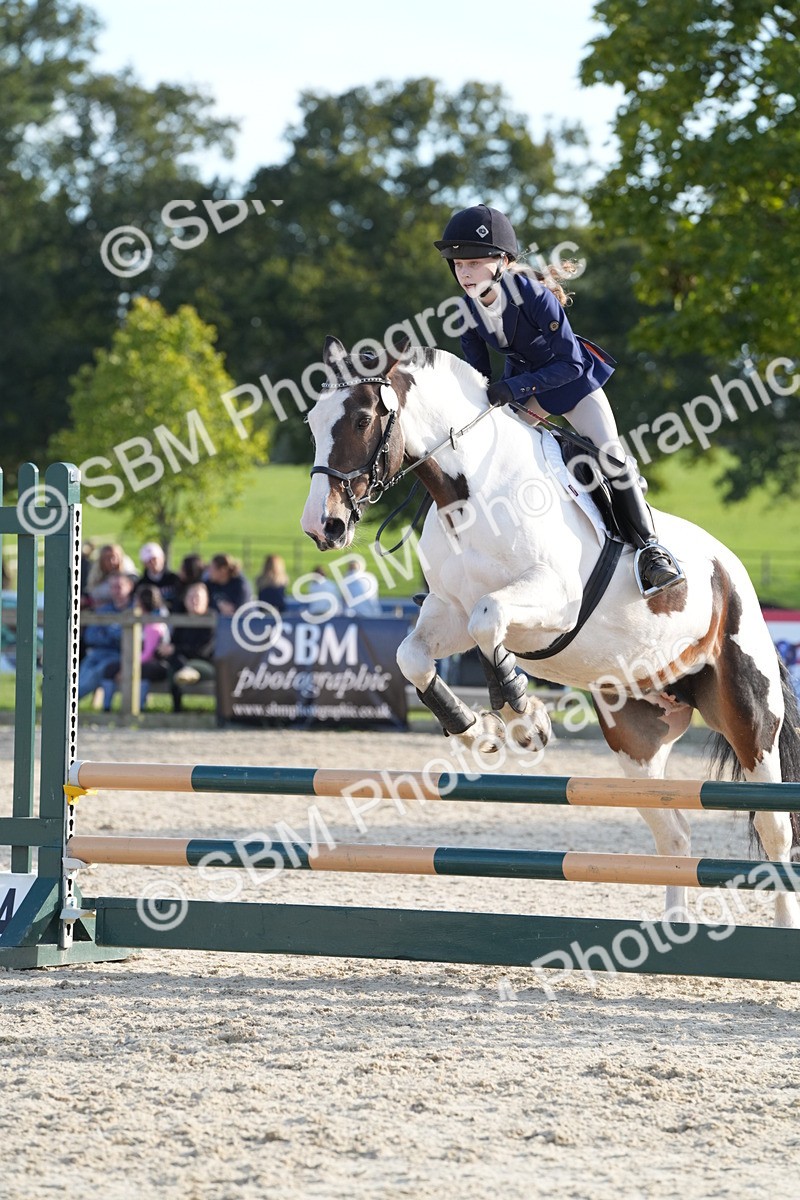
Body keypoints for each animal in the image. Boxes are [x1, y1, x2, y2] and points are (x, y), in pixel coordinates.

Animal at [301, 336, 800, 928]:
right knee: (674, 834)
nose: (322, 527)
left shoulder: (554, 601)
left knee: (774, 831)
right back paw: (675, 926)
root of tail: (733, 571)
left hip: (749, 718)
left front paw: (525, 719)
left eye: (360, 419)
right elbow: (415, 657)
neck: (469, 492)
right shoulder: (447, 611)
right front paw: (477, 729)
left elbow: (488, 618)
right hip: (637, 735)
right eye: (312, 421)